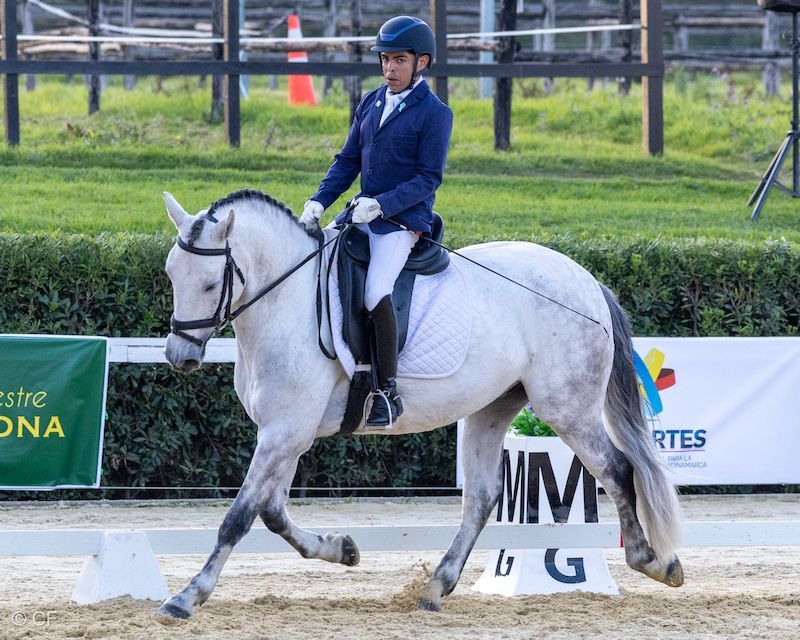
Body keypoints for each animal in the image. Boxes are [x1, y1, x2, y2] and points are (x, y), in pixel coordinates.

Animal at [156, 188, 683, 619]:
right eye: (170, 275)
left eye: (209, 284)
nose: (181, 357)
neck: (287, 301)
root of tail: (588, 281)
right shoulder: (287, 432)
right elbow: (271, 512)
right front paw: (342, 549)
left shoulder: (285, 431)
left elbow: (239, 516)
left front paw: (186, 597)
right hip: (492, 408)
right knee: (483, 496)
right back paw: (436, 586)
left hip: (567, 408)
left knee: (617, 469)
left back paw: (654, 562)